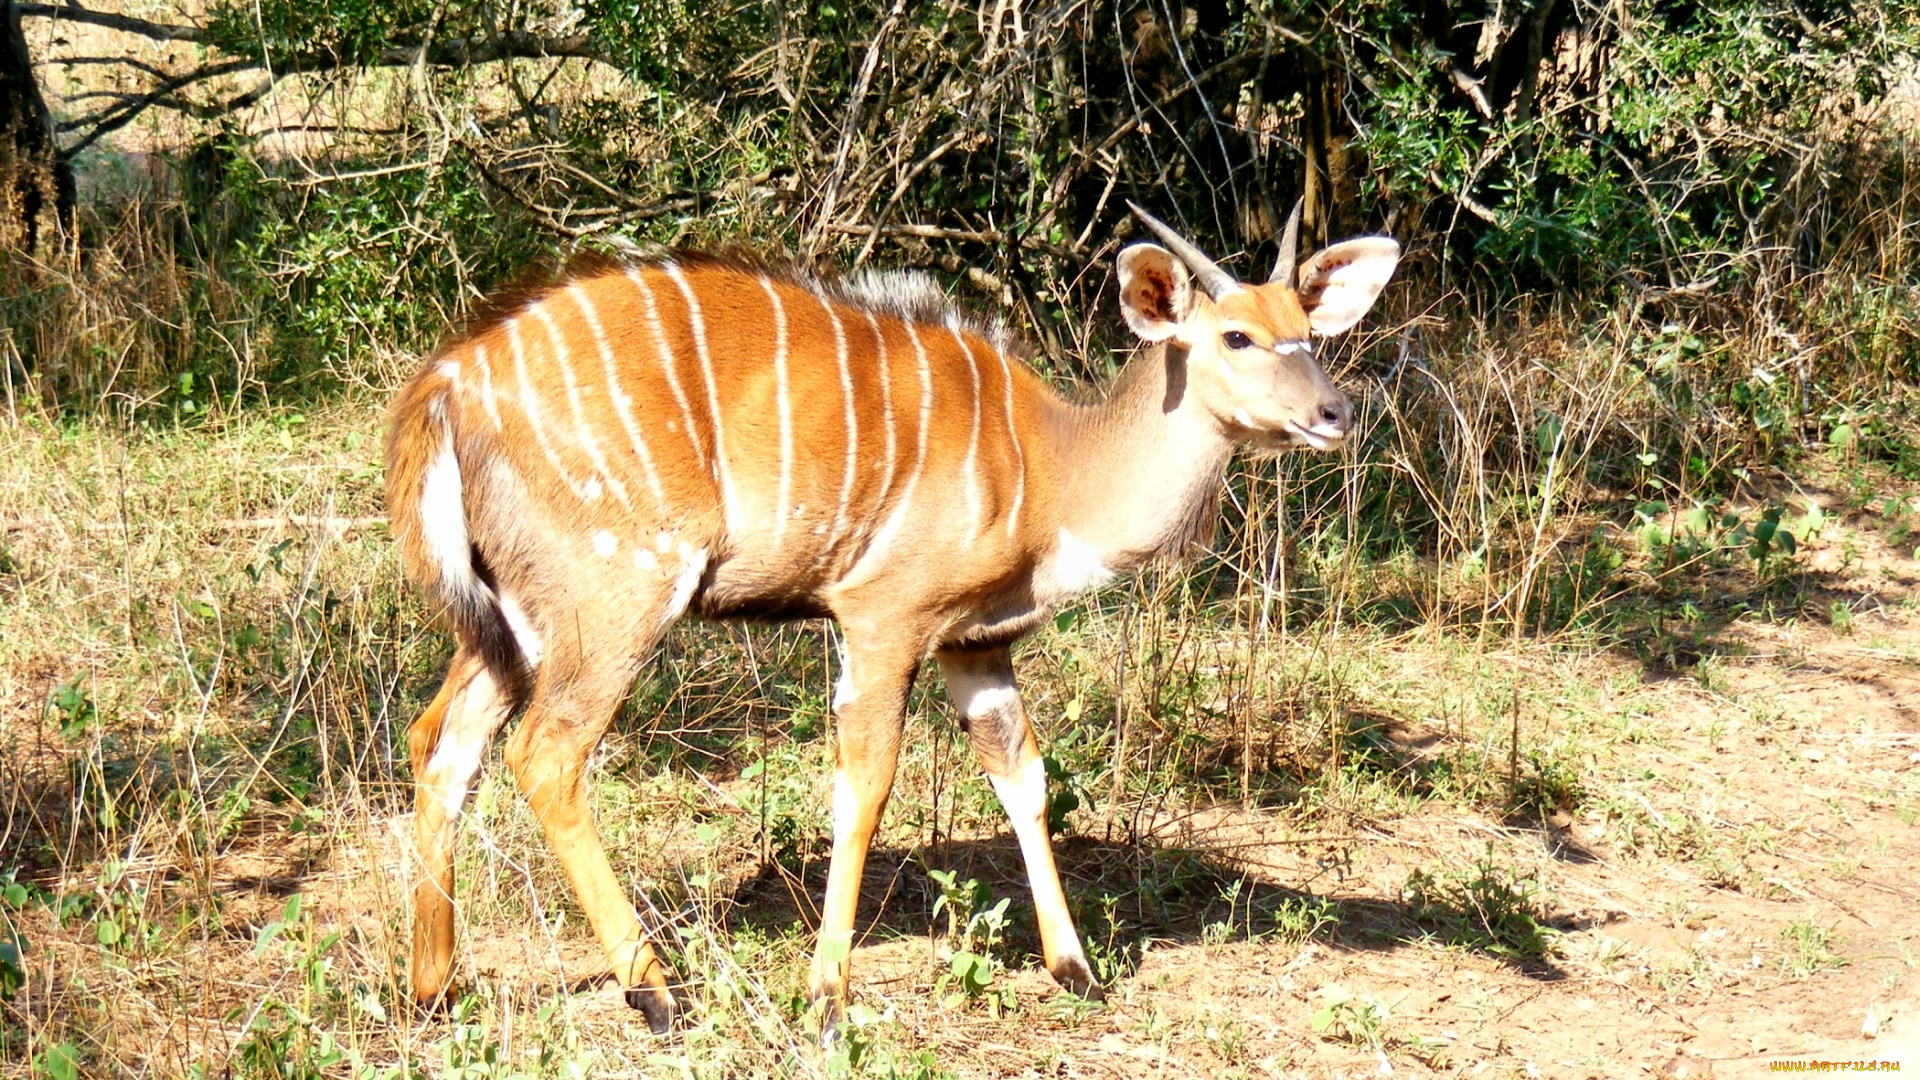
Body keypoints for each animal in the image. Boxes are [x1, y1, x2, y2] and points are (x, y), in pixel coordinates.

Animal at [389, 197, 1405, 1030]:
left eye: (1307, 328)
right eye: (1235, 337)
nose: (1335, 411)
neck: (1049, 468)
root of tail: (448, 382)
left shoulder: (976, 645)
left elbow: (1024, 778)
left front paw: (1075, 970)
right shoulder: (881, 619)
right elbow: (864, 786)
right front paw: (827, 995)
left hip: (518, 617)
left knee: (441, 740)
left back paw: (434, 988)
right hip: (620, 592)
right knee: (545, 753)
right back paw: (657, 990)